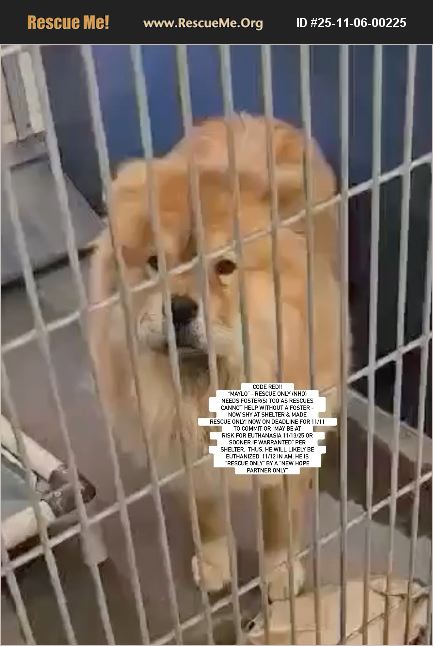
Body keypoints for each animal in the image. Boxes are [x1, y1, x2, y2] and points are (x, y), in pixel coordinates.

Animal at [88, 113, 348, 600]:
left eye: (225, 267)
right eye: (155, 262)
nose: (179, 308)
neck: (208, 384)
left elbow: (278, 518)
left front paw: (280, 572)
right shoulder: (183, 451)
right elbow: (207, 517)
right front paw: (213, 564)